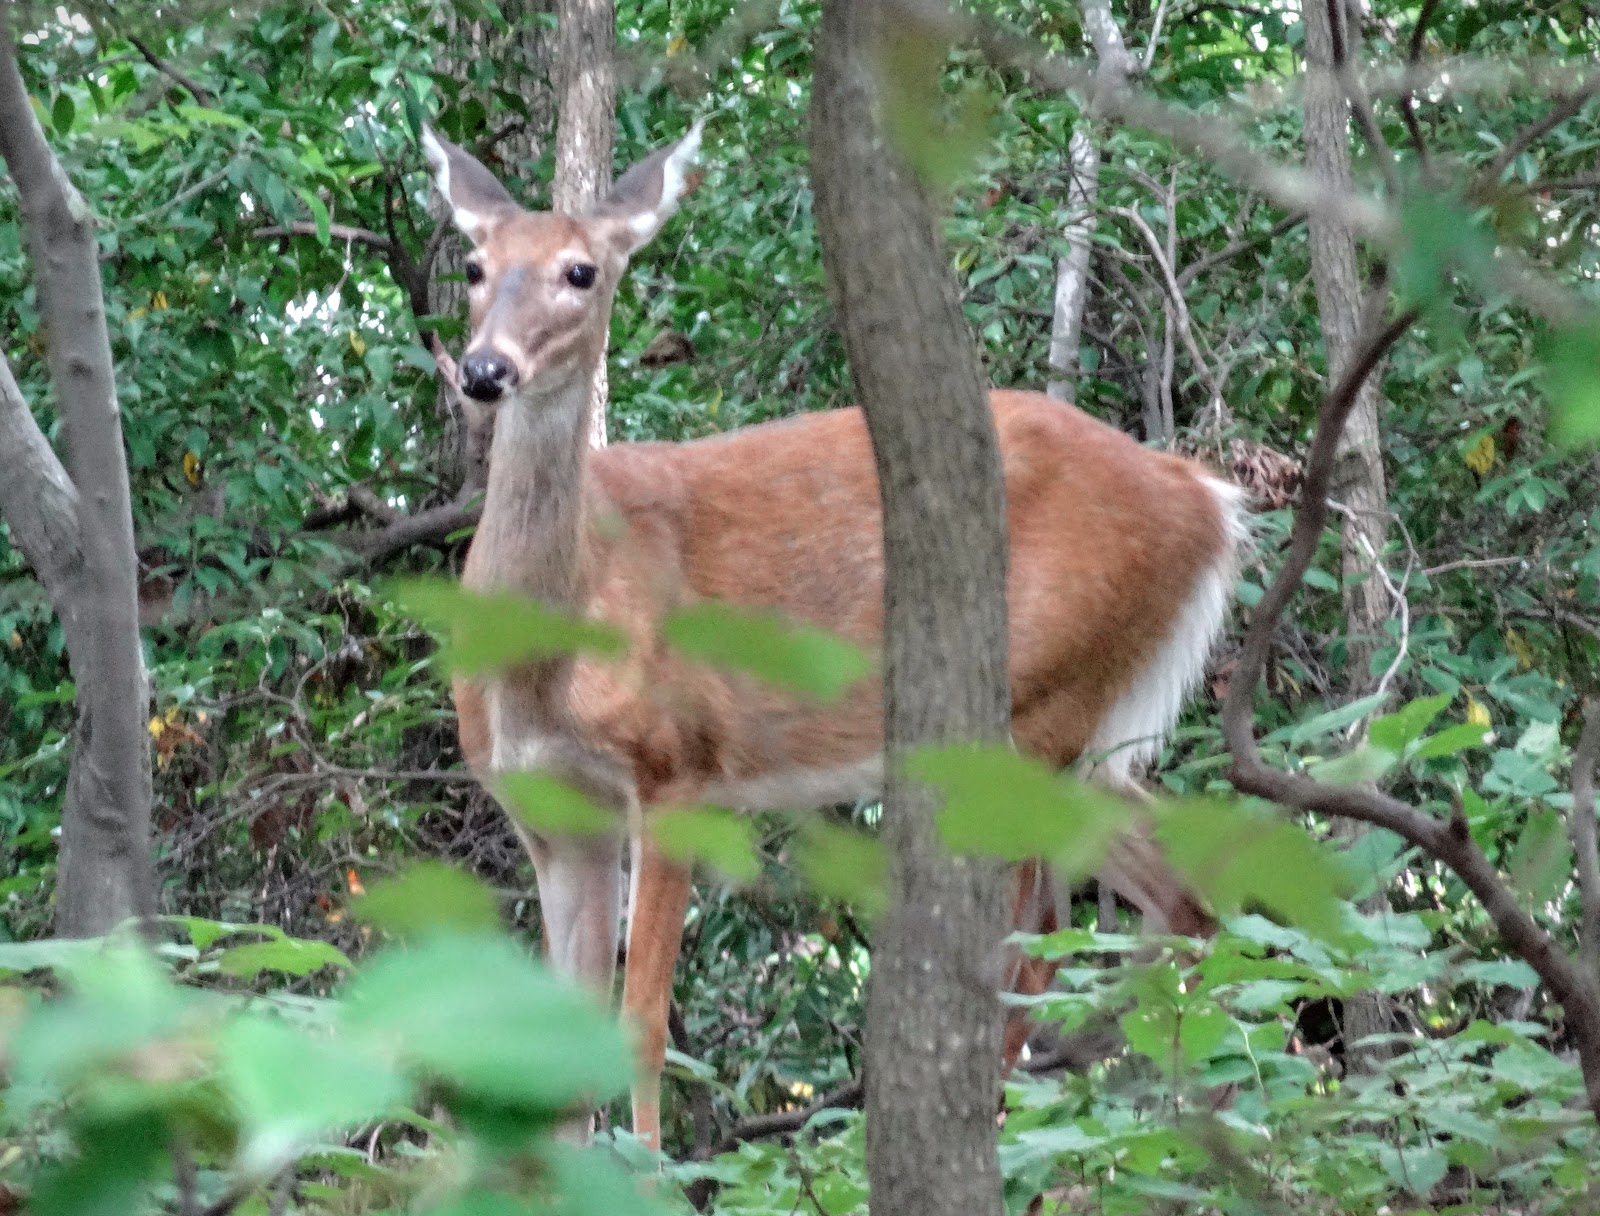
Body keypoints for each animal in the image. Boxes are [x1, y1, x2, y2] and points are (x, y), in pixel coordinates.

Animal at [421, 120, 1246, 1149]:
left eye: (582, 271)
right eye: (475, 263)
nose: (485, 371)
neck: (548, 650)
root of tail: (1206, 500)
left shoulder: (678, 766)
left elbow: (641, 1020)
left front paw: (652, 1167)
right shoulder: (553, 814)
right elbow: (555, 1037)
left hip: (1042, 704)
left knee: (1028, 946)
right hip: (1086, 735)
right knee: (1182, 893)